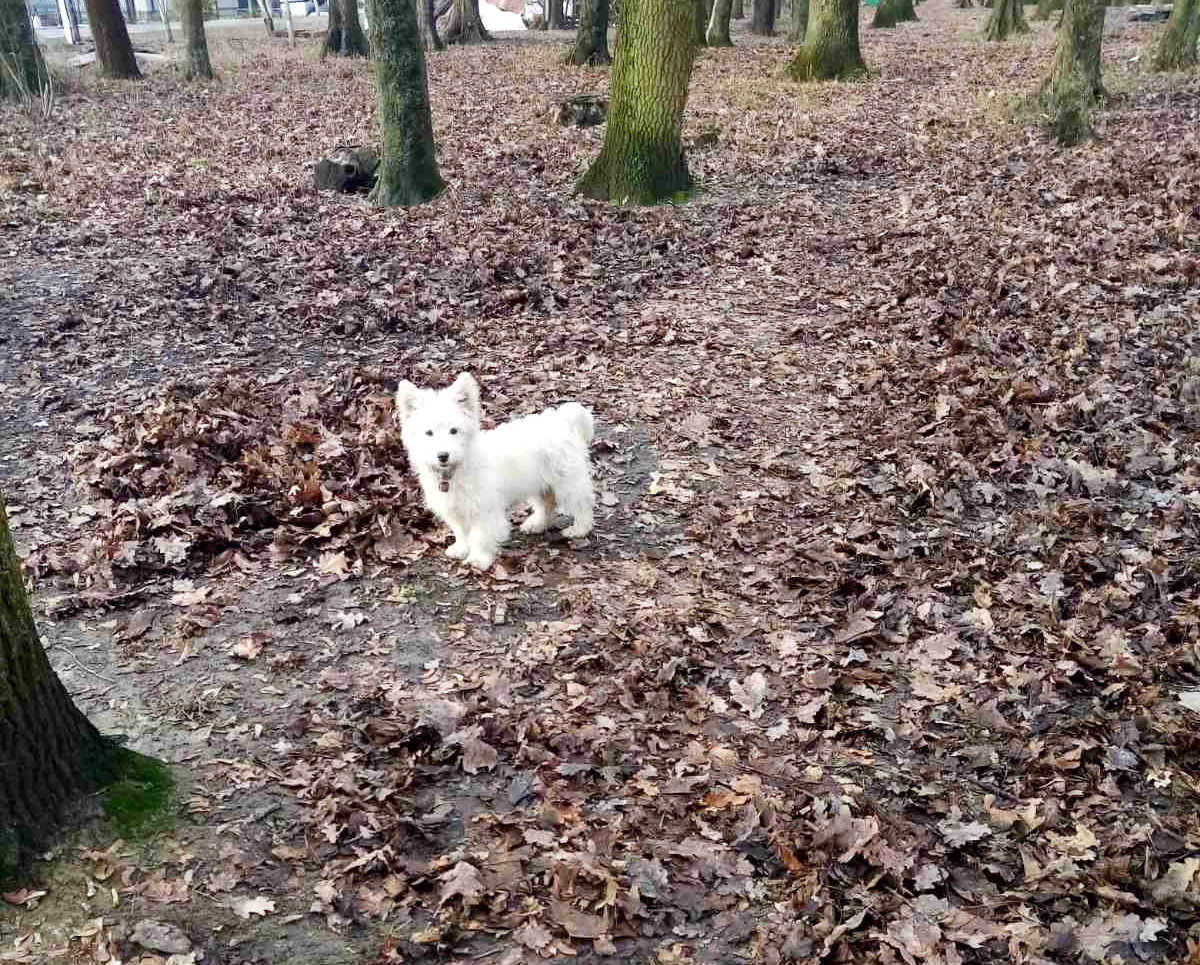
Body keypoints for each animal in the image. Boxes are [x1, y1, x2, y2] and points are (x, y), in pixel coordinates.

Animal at [396, 372, 595, 571]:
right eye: (428, 433)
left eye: (454, 430)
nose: (443, 455)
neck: (457, 468)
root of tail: (563, 420)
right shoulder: (455, 508)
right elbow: (461, 532)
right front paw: (461, 549)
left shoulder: (485, 510)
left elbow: (479, 536)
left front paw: (478, 559)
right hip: (539, 482)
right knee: (545, 503)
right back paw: (536, 524)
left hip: (568, 481)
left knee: (582, 504)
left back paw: (579, 529)